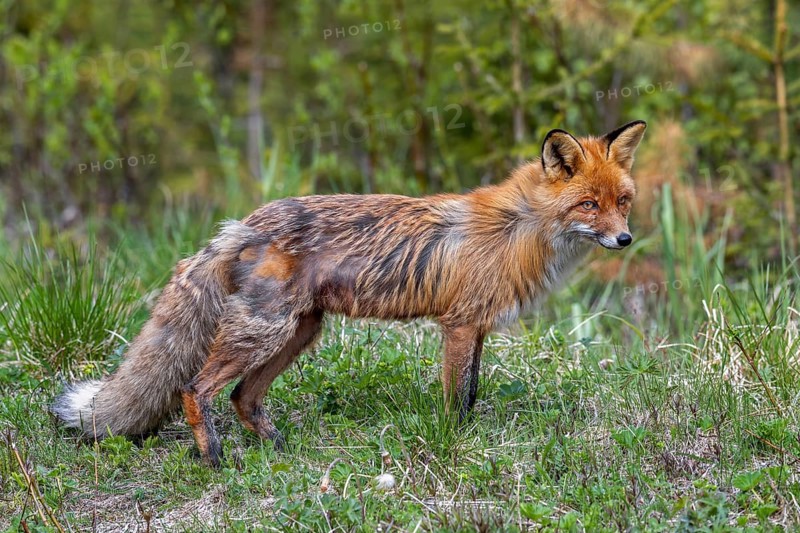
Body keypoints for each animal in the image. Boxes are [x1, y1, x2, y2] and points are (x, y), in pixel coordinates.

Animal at [52, 120, 646, 466]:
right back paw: (215, 456)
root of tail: (242, 223)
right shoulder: (458, 325)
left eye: (622, 201)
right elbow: (457, 400)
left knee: (243, 396)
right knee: (193, 388)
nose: (625, 239)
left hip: (299, 332)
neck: (518, 228)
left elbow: (473, 393)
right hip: (264, 332)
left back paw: (278, 448)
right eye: (588, 204)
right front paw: (455, 444)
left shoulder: (475, 327)